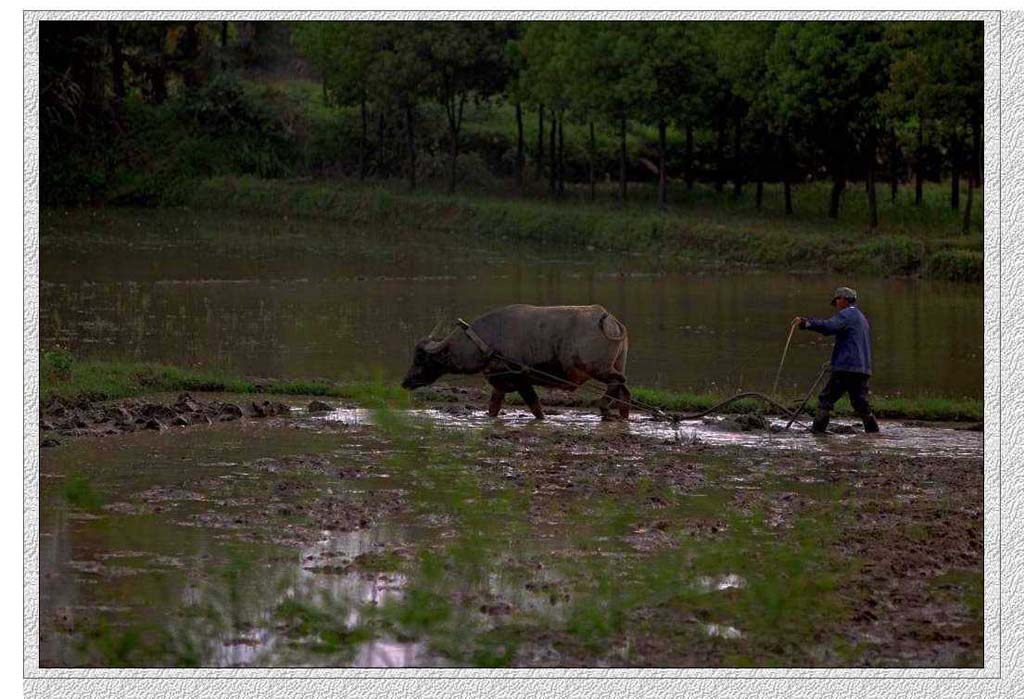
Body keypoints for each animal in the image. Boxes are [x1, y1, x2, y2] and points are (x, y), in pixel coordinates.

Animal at [401, 302, 630, 421]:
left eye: (420, 358)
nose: (405, 382)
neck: (486, 341)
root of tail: (611, 321)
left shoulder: (521, 380)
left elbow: (536, 408)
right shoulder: (499, 383)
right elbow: (493, 408)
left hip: (597, 368)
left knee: (618, 381)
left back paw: (604, 407)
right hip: (616, 363)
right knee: (624, 391)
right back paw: (622, 415)